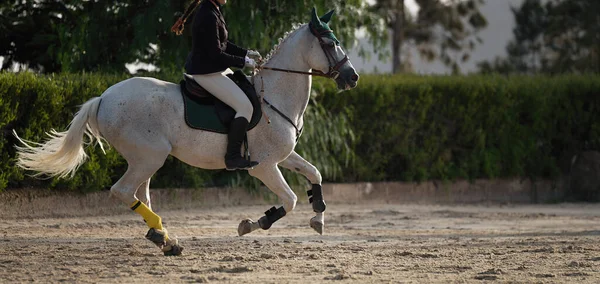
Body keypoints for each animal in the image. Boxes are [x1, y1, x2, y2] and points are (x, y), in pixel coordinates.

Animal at [14, 7, 358, 255]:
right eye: (330, 44)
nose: (352, 77)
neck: (273, 95)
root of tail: (103, 98)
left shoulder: (283, 156)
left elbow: (314, 174)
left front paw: (318, 217)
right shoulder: (263, 166)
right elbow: (289, 199)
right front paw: (252, 223)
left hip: (146, 159)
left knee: (140, 194)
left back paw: (164, 238)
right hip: (149, 157)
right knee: (123, 191)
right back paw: (163, 236)